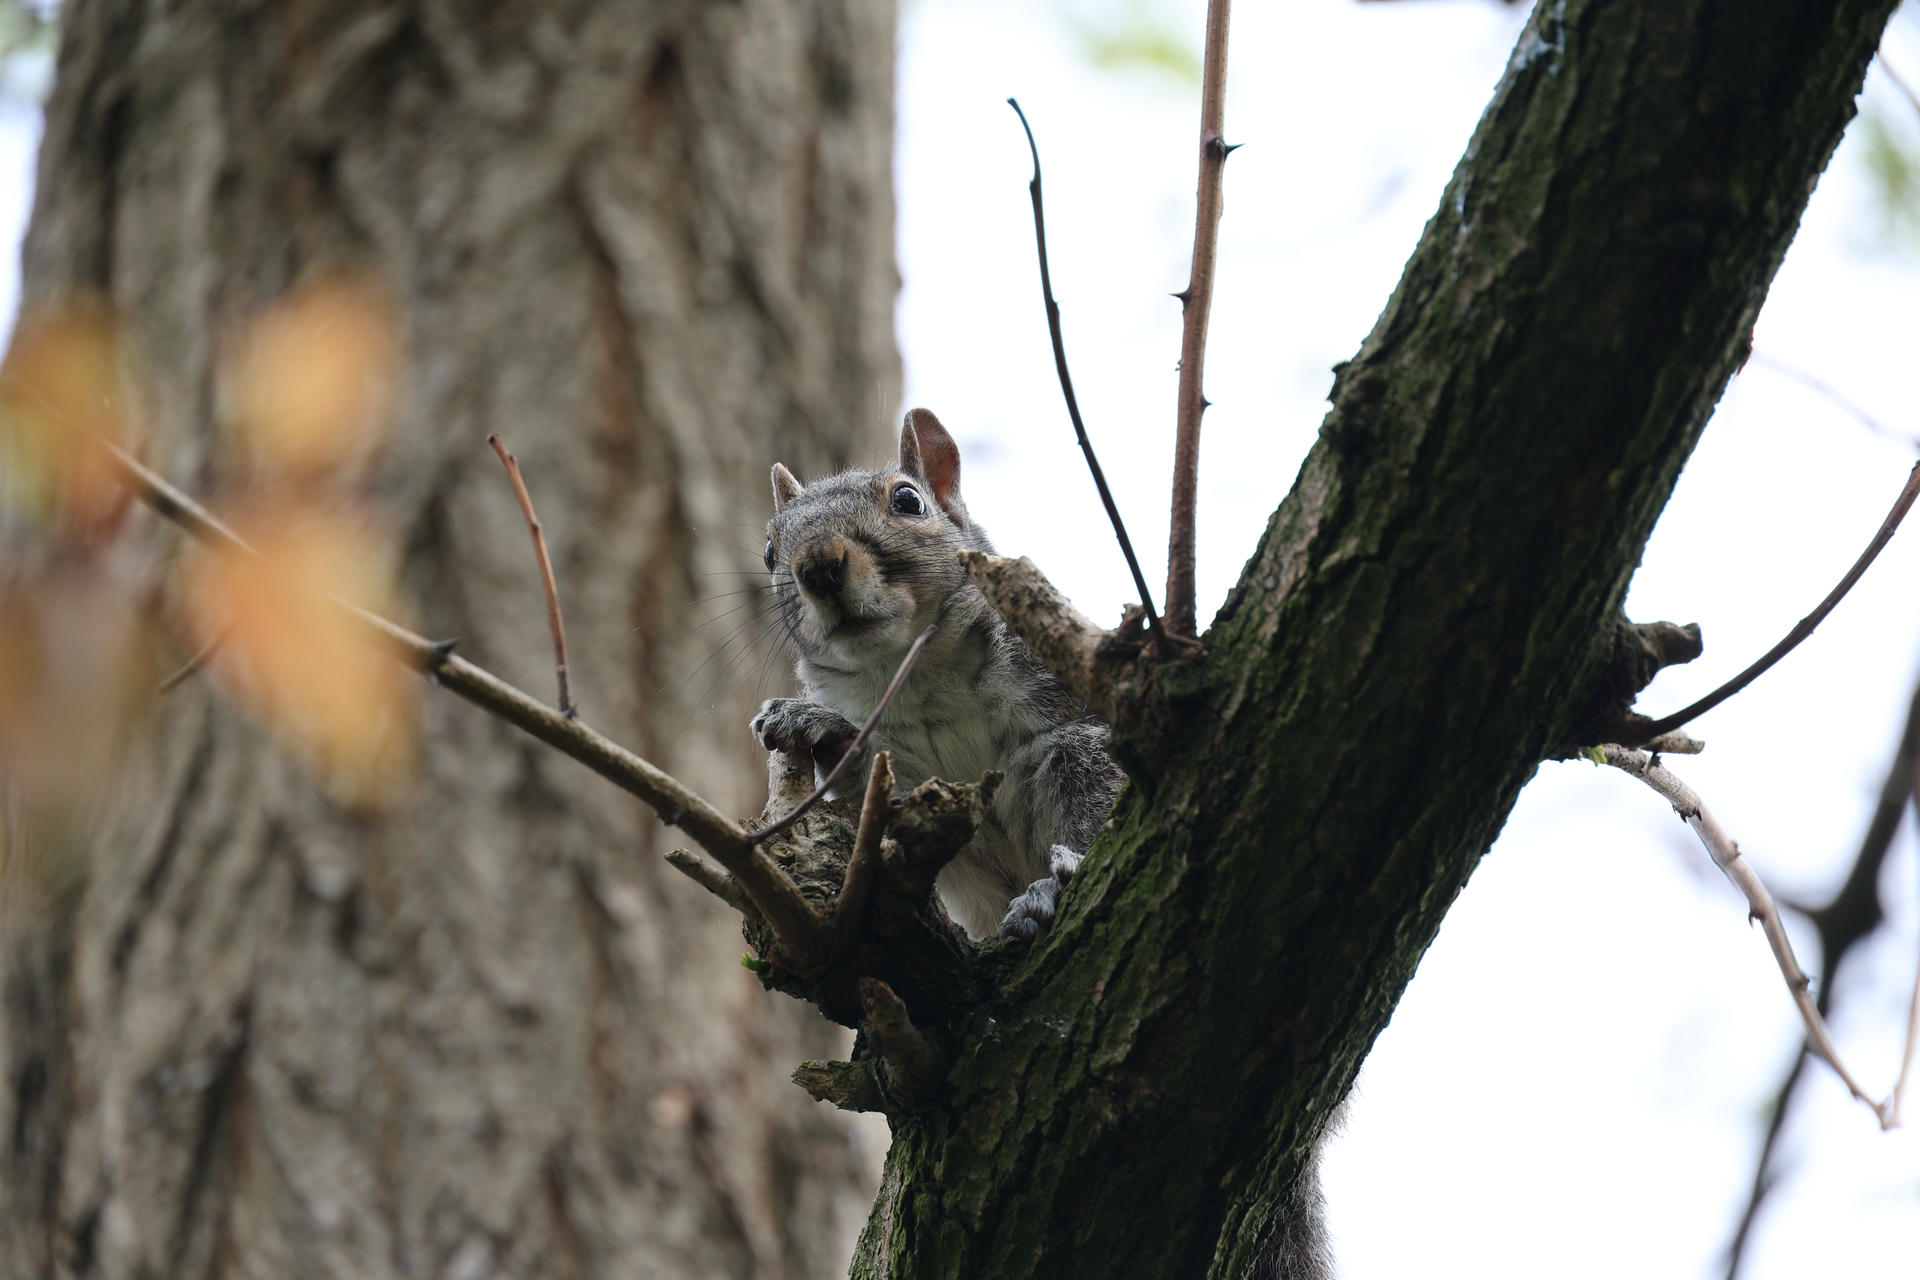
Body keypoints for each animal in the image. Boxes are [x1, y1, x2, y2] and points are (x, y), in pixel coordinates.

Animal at [750, 408, 1123, 942]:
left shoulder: (1070, 711)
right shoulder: (918, 790)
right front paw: (821, 726)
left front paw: (1056, 883)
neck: (921, 676)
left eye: (908, 500)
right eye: (768, 551)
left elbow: (1102, 804)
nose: (818, 565)